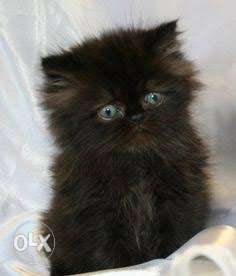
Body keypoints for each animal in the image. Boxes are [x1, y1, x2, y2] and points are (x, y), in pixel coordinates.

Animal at [41, 20, 210, 274]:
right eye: (109, 111)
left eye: (152, 98)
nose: (136, 117)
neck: (135, 162)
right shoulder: (95, 214)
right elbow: (111, 259)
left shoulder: (181, 198)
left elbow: (176, 242)